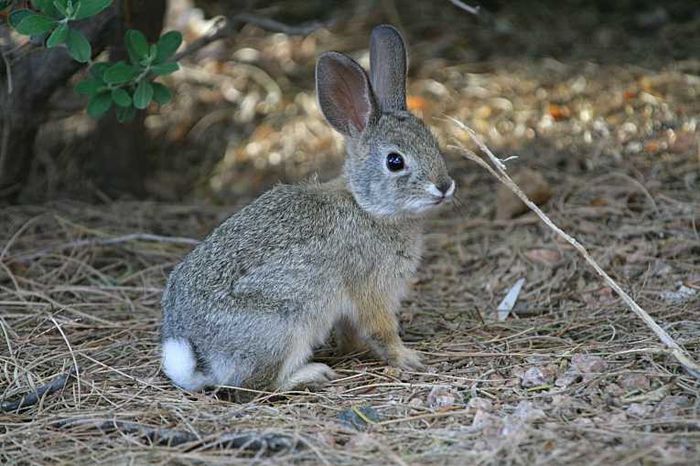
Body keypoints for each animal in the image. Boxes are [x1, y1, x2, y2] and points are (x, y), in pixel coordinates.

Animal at [161, 24, 456, 392]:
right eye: (395, 161)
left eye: (433, 143)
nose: (444, 186)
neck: (367, 207)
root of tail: (200, 360)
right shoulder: (372, 287)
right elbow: (382, 329)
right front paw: (408, 358)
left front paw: (358, 351)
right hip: (289, 322)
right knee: (258, 384)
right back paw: (312, 374)